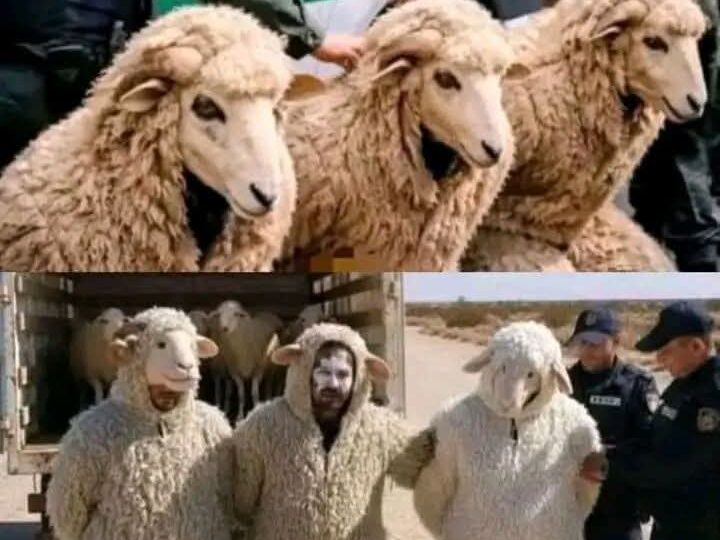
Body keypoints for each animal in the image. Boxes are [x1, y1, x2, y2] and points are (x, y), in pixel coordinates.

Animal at [47, 307, 235, 540]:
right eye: (161, 344)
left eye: (193, 346)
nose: (188, 367)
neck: (161, 422)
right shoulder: (80, 457)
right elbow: (69, 511)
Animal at [413, 321, 602, 540]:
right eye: (502, 367)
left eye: (531, 374)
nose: (507, 404)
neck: (514, 424)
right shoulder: (445, 441)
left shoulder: (585, 437)